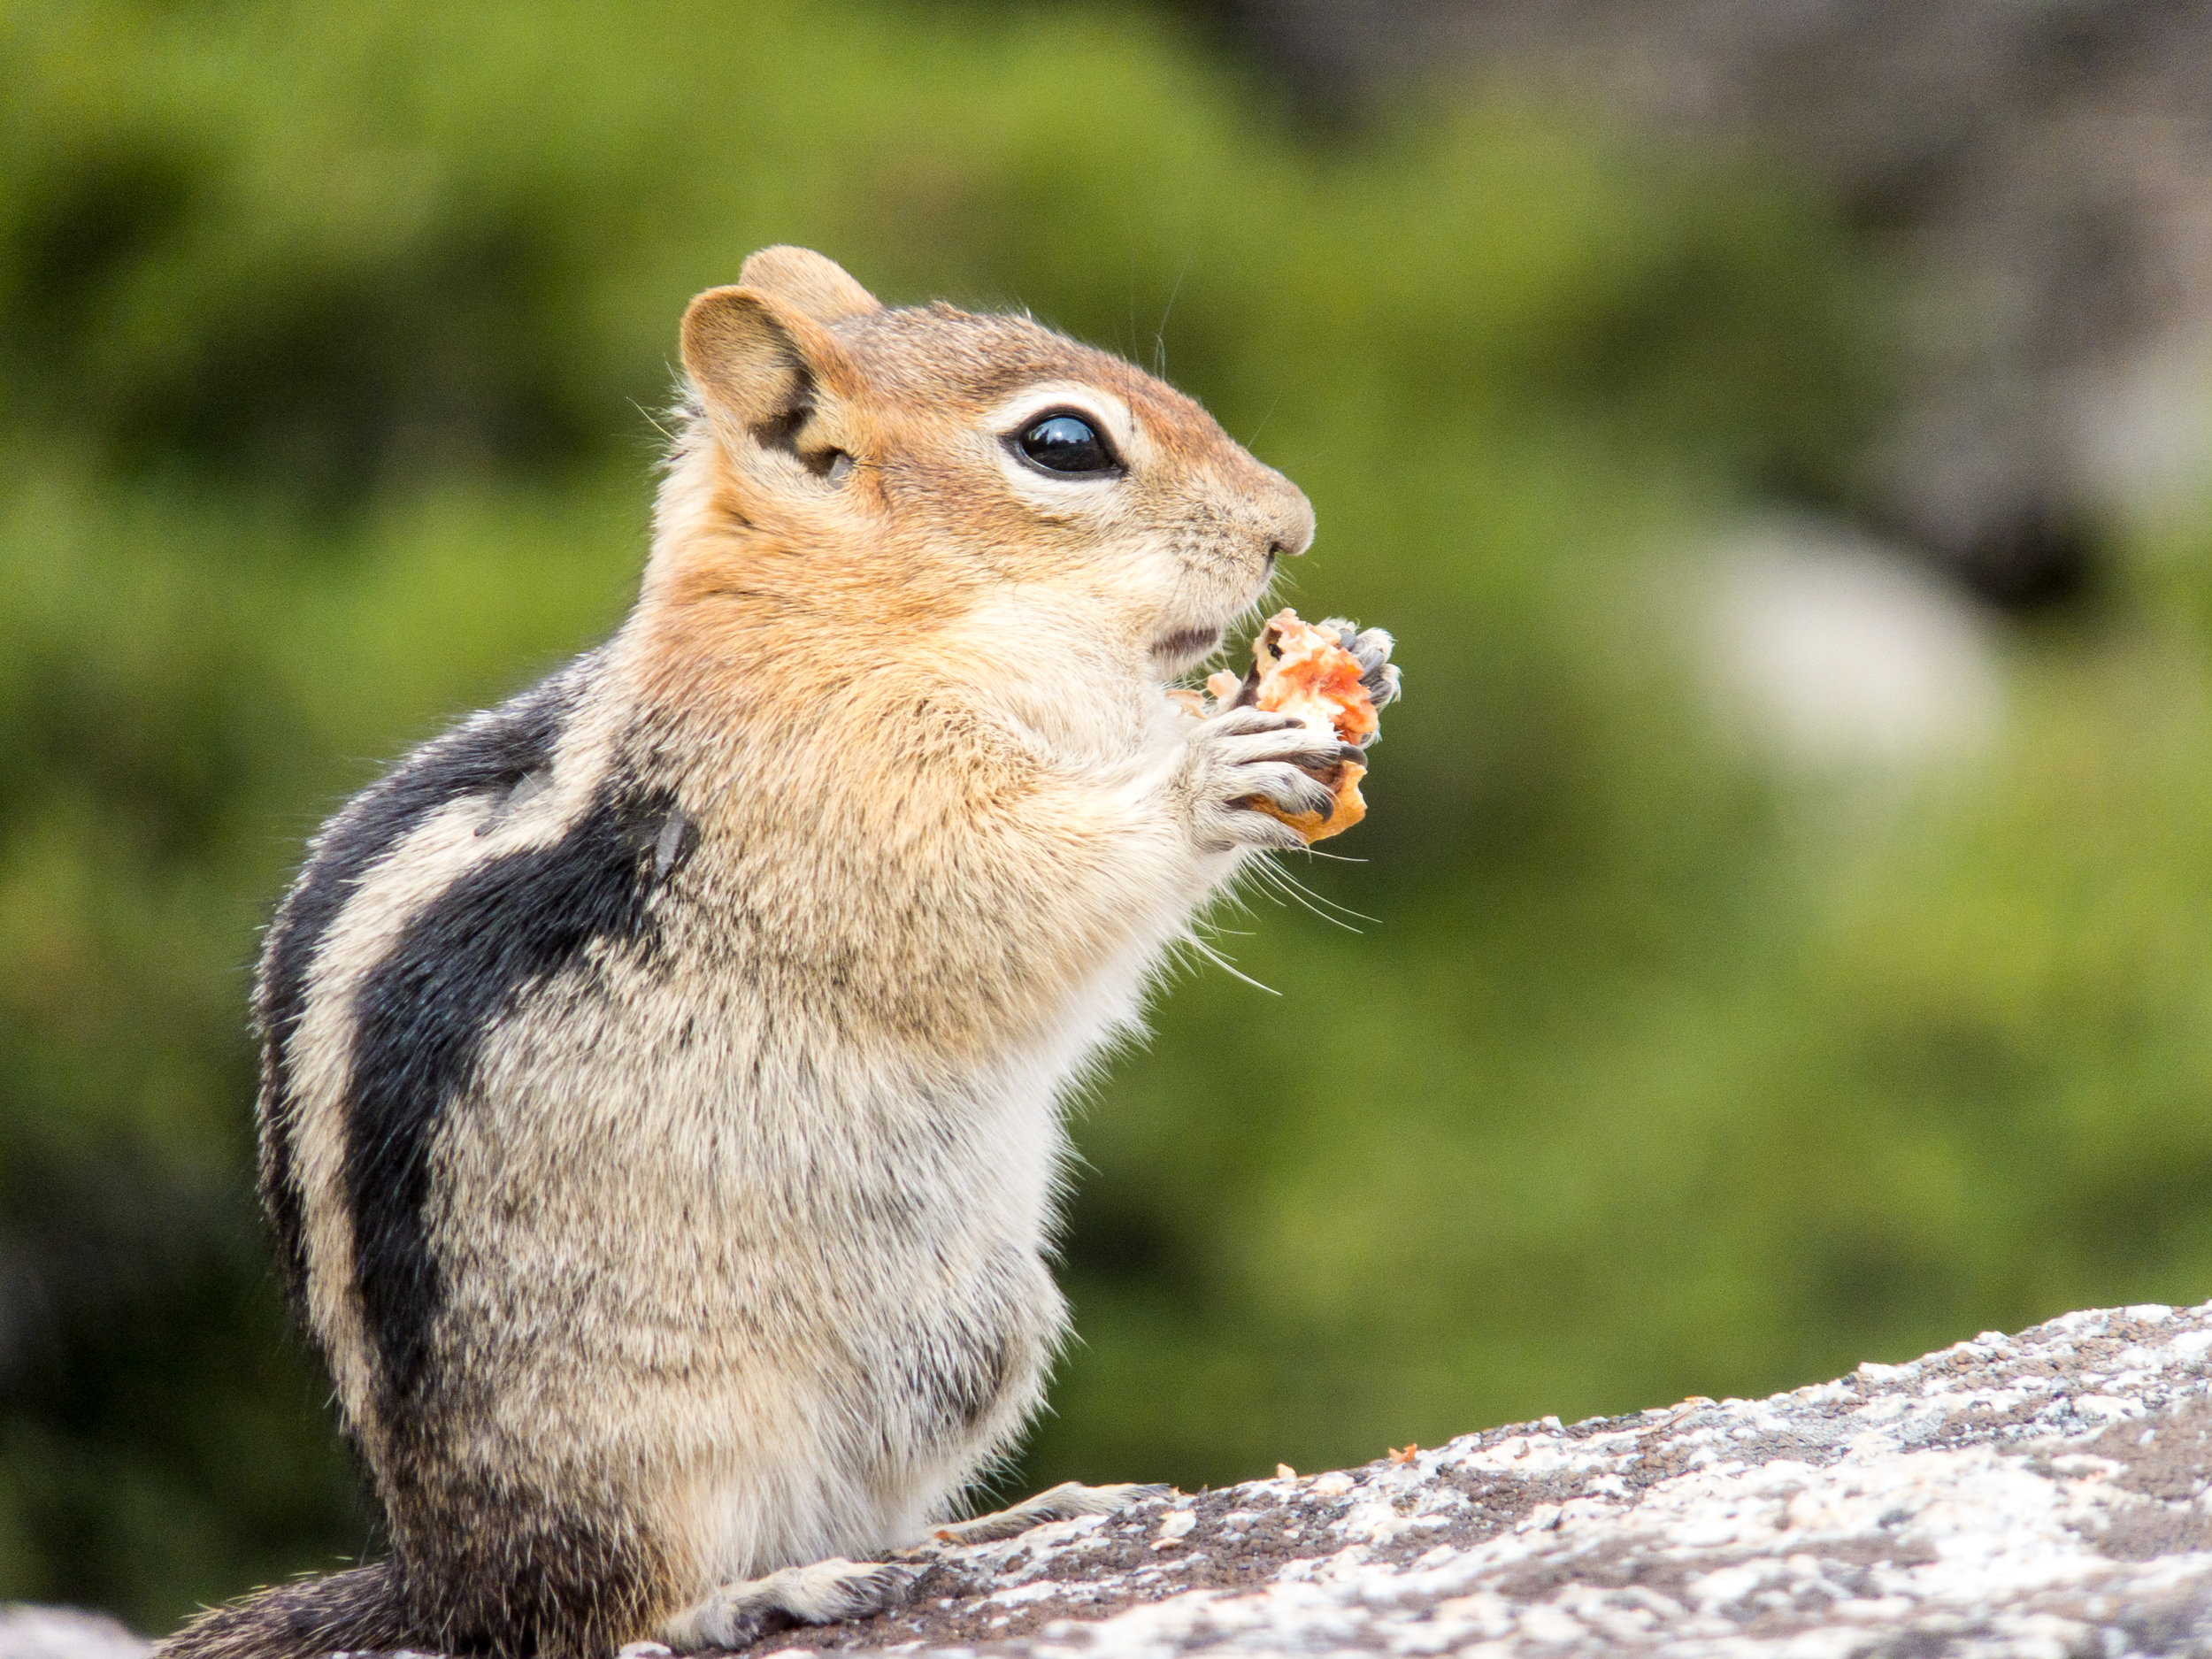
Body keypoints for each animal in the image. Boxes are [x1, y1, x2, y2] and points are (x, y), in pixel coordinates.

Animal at [160, 246, 1398, 1659]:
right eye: (1065, 443)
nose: (1291, 524)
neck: (863, 610)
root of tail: (437, 1581)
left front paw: (1350, 663)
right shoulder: (845, 788)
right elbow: (1014, 888)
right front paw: (1213, 773)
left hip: (977, 1337)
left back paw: (997, 1523)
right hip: (652, 1433)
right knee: (602, 1612)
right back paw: (742, 1594)